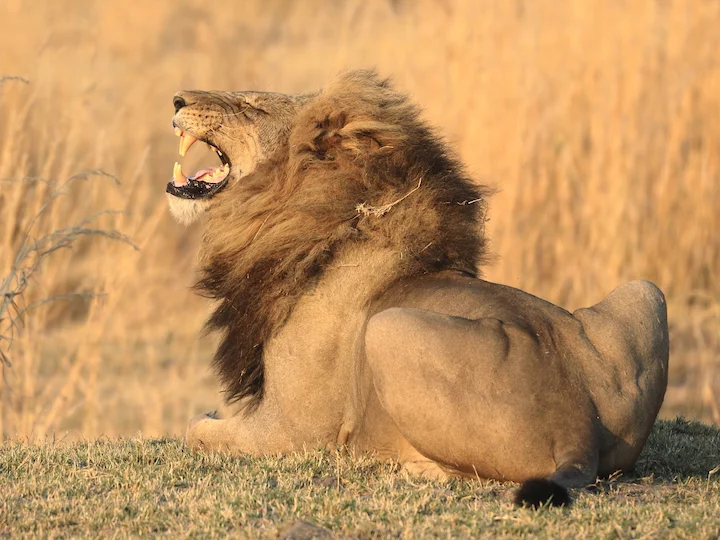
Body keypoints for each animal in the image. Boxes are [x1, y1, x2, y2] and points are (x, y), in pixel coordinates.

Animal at [166, 70, 669, 508]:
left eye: (253, 105)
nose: (176, 99)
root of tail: (578, 431)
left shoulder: (291, 431)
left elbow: (195, 429)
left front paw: (206, 419)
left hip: (389, 329)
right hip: (645, 292)